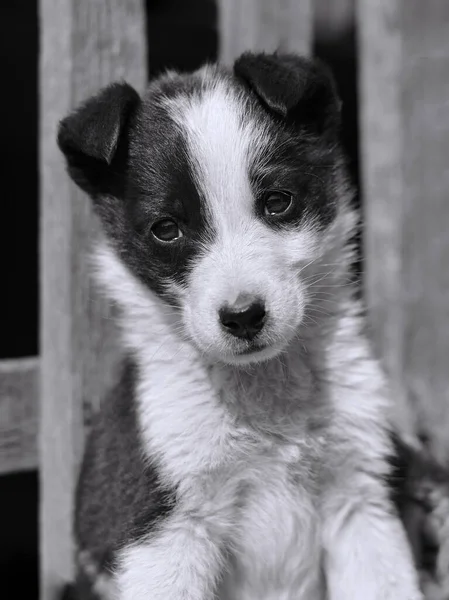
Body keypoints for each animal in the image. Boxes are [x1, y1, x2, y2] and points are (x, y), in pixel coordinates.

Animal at [57, 51, 422, 600]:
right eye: (166, 229)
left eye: (278, 202)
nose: (243, 317)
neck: (264, 389)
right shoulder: (167, 530)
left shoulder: (360, 499)